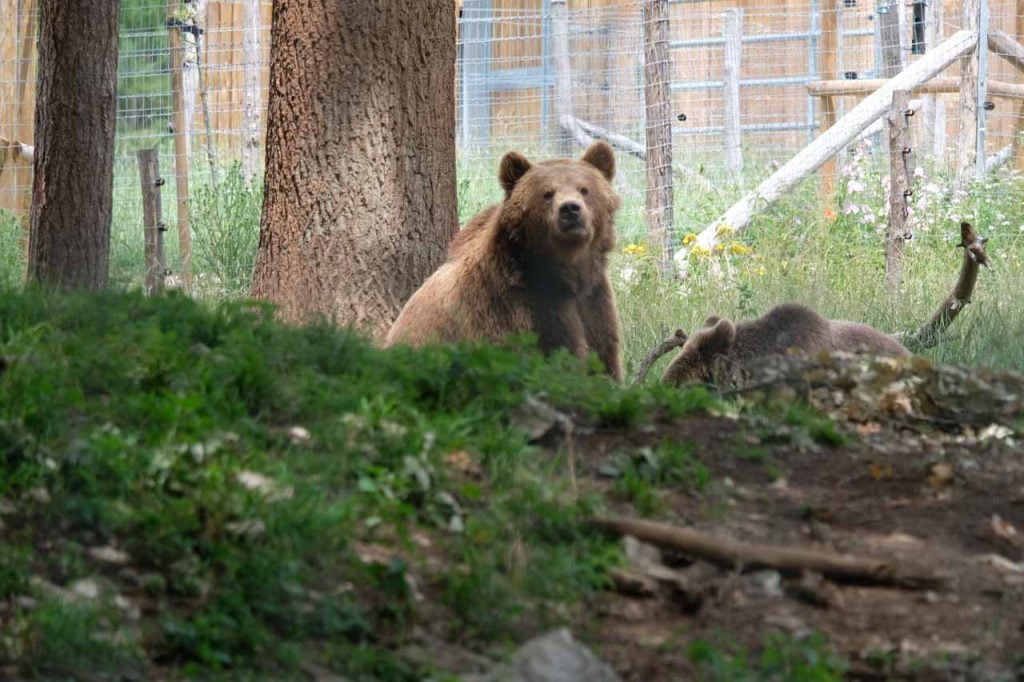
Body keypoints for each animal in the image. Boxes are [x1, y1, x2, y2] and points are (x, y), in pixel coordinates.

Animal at [385, 140, 618, 378]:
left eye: (584, 189)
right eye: (547, 193)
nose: (570, 209)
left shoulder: (594, 301)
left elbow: (604, 357)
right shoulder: (516, 307)